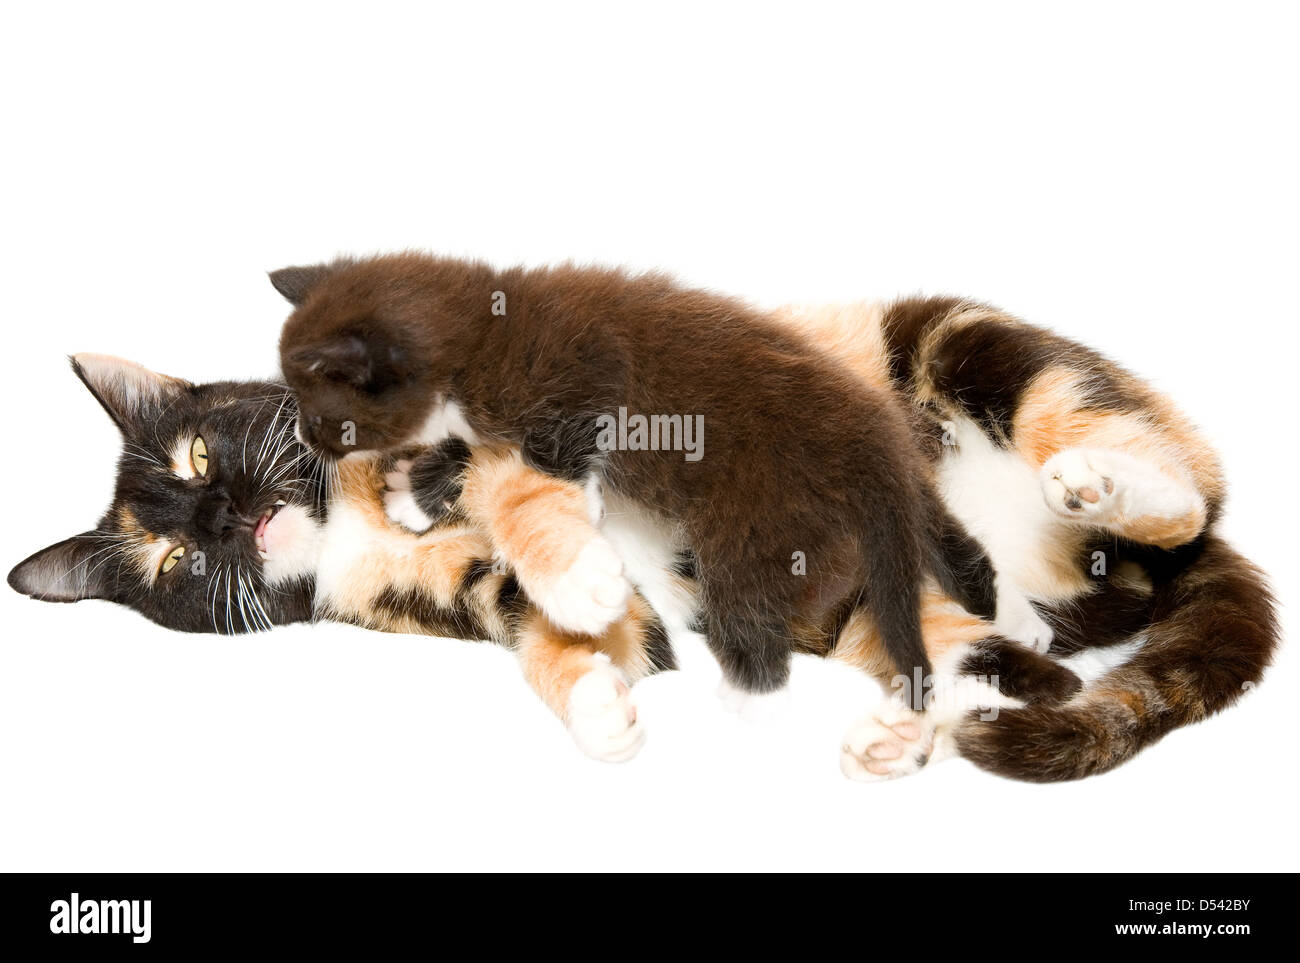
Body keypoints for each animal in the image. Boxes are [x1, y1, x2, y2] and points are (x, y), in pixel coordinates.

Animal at [269, 256, 1050, 706]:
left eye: (321, 410)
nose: (303, 437)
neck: (485, 330)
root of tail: (872, 449)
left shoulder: (588, 385)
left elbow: (551, 461)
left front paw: (573, 531)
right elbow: (475, 448)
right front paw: (417, 489)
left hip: (752, 534)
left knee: (761, 651)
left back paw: (740, 709)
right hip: (915, 492)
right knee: (960, 550)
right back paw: (1021, 619)